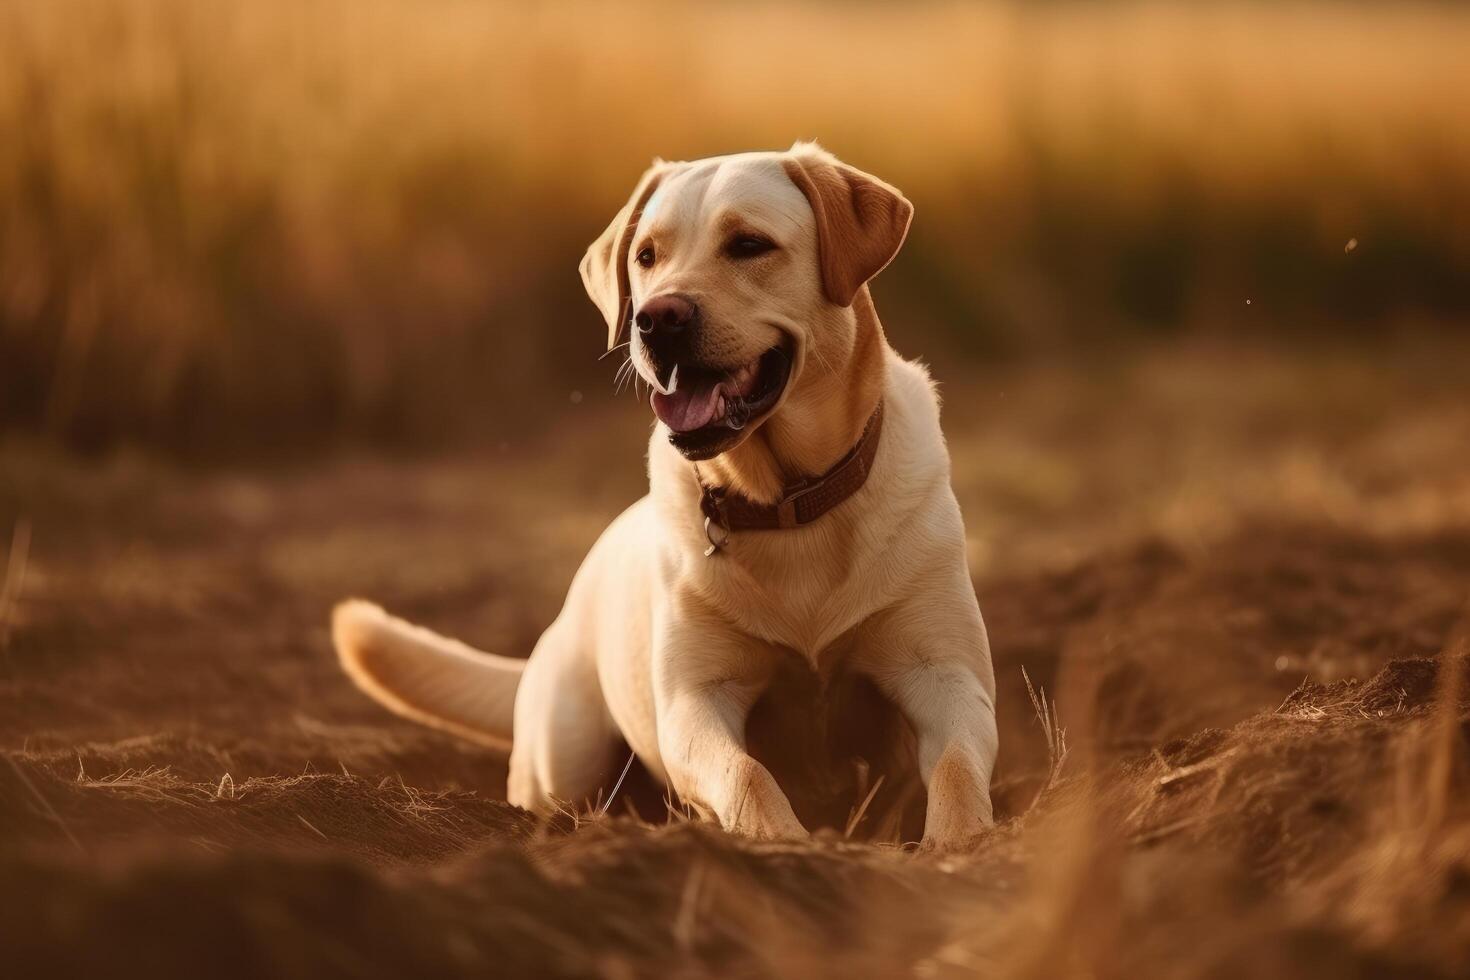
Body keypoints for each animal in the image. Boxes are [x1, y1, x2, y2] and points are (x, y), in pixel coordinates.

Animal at [333, 141, 999, 846]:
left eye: (749, 244)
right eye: (646, 256)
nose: (657, 319)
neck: (786, 501)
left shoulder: (945, 675)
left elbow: (957, 767)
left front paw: (959, 844)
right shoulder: (693, 702)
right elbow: (746, 774)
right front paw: (785, 841)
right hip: (564, 756)